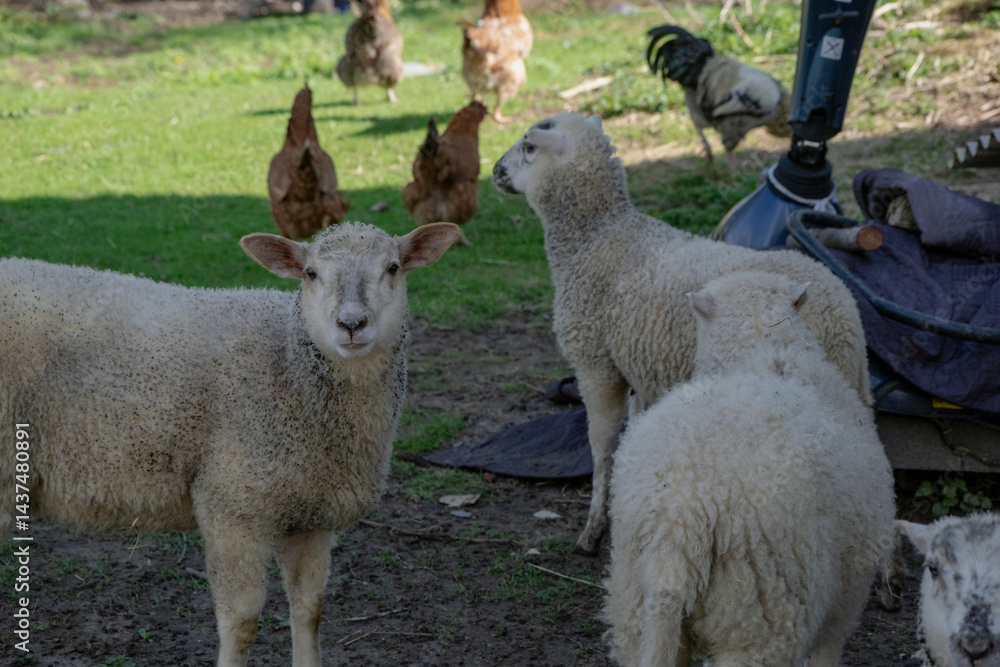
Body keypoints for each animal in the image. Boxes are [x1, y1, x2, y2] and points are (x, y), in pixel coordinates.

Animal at [0, 221, 461, 667]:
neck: (289, 364)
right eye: (310, 273)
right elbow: (242, 623)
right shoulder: (233, 505)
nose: (351, 324)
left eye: (393, 268)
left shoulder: (312, 514)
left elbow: (309, 610)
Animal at [492, 111, 871, 554]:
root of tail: (845, 313)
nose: (495, 171)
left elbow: (601, 448)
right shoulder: (639, 366)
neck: (598, 237)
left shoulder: (595, 363)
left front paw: (593, 529)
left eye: (529, 147)